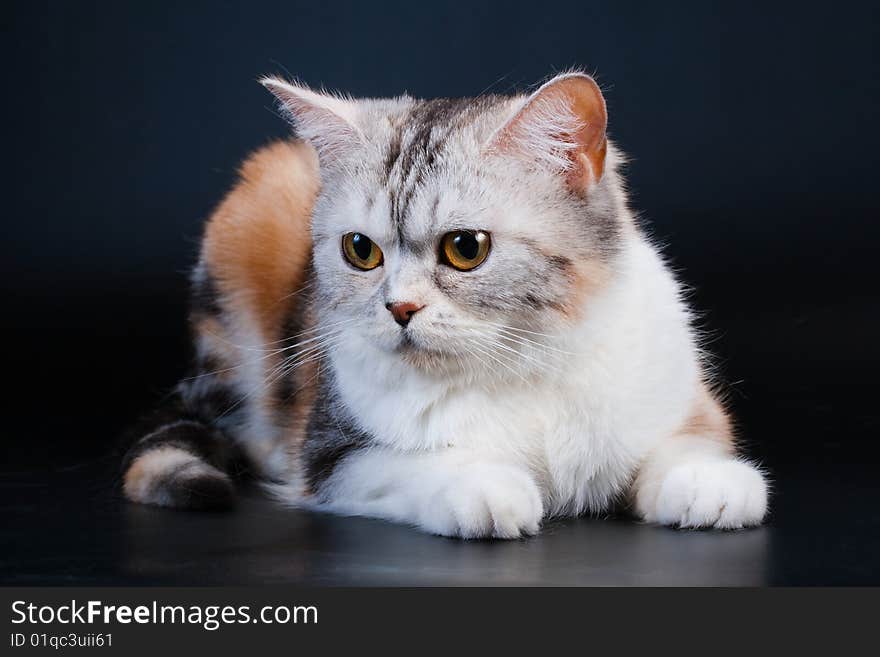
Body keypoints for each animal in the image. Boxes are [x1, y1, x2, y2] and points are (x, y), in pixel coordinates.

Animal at [124, 70, 768, 540]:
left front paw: (706, 483)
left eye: (465, 249)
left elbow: (687, 442)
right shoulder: (333, 455)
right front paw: (484, 489)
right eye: (360, 250)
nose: (399, 308)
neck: (525, 362)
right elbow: (416, 465)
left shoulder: (682, 401)